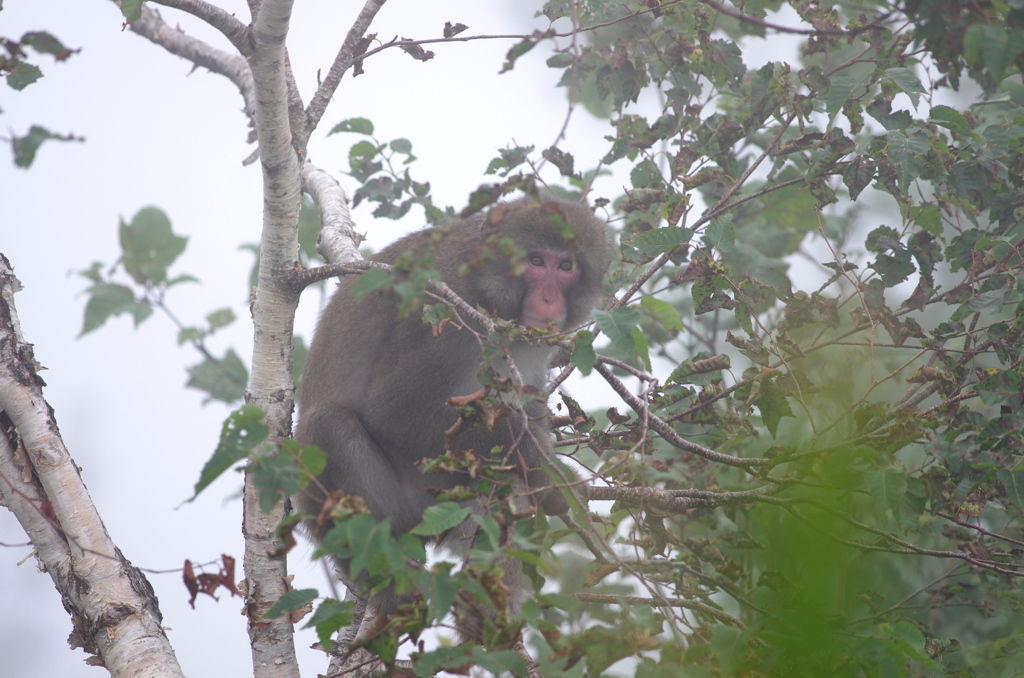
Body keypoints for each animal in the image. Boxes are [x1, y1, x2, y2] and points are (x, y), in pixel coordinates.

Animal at [292, 196, 602, 643]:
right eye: (536, 261)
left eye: (566, 267)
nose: (548, 300)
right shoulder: (444, 309)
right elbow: (394, 413)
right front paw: (553, 477)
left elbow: (526, 410)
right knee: (327, 425)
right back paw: (391, 585)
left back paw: (489, 609)